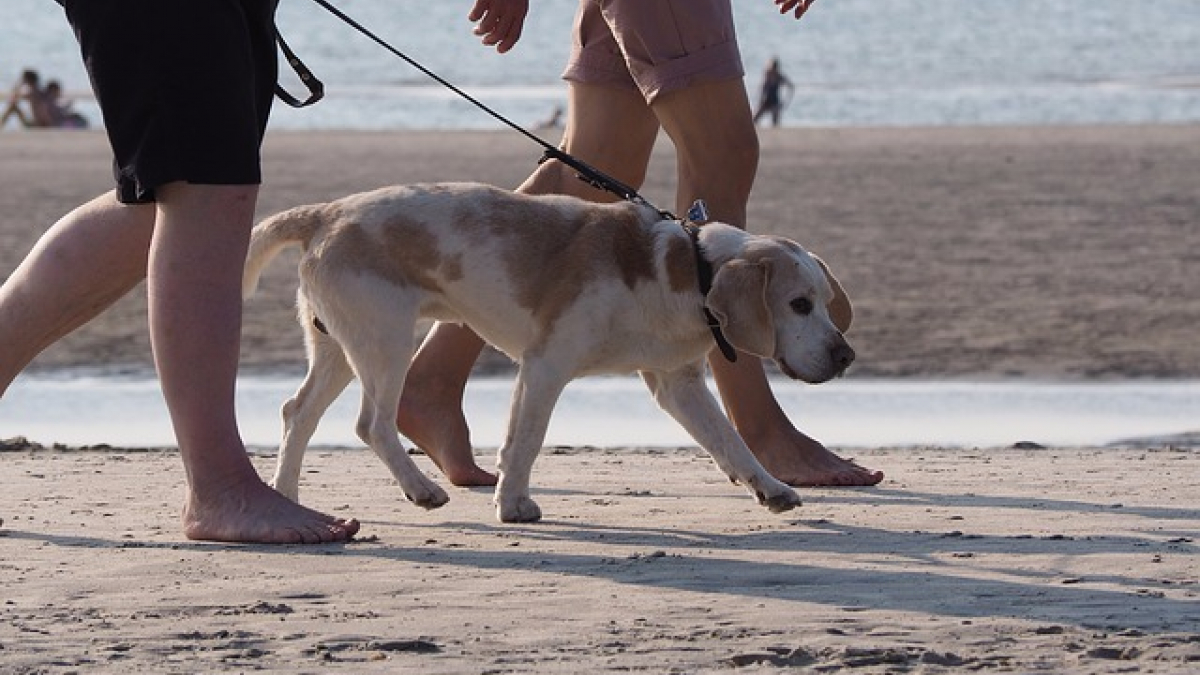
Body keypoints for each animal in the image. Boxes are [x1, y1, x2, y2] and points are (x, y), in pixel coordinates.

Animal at [243, 181, 854, 523]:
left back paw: (288, 497)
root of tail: (327, 212)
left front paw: (771, 489)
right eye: (798, 304)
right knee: (372, 423)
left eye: (825, 302)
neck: (689, 269)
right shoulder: (545, 367)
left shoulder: (678, 386)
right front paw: (513, 505)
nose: (846, 357)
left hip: (338, 351)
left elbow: (731, 443)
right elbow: (526, 442)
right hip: (385, 345)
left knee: (296, 413)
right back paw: (421, 489)